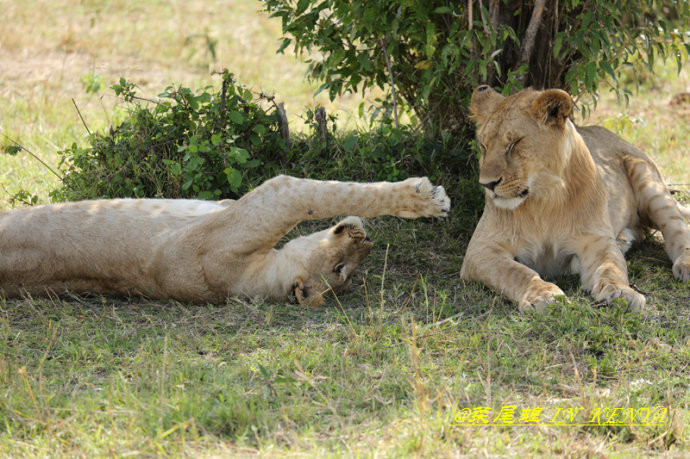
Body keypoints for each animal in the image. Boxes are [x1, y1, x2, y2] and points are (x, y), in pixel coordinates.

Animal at [460, 85, 690, 312]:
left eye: (515, 143)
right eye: (484, 146)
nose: (487, 184)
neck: (543, 199)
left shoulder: (596, 241)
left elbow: (612, 267)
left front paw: (622, 292)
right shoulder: (480, 250)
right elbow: (516, 272)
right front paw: (543, 295)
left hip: (649, 180)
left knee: (677, 229)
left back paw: (684, 264)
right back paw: (622, 241)